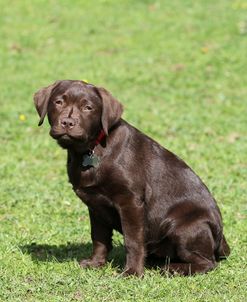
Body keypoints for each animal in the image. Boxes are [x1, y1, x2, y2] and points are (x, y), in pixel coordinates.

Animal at [34, 80, 230, 276]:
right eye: (58, 102)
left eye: (88, 108)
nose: (67, 122)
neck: (91, 149)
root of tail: (221, 240)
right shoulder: (95, 205)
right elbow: (99, 237)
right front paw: (96, 263)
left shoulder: (130, 202)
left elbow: (133, 240)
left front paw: (132, 272)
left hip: (183, 226)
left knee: (207, 263)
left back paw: (171, 268)